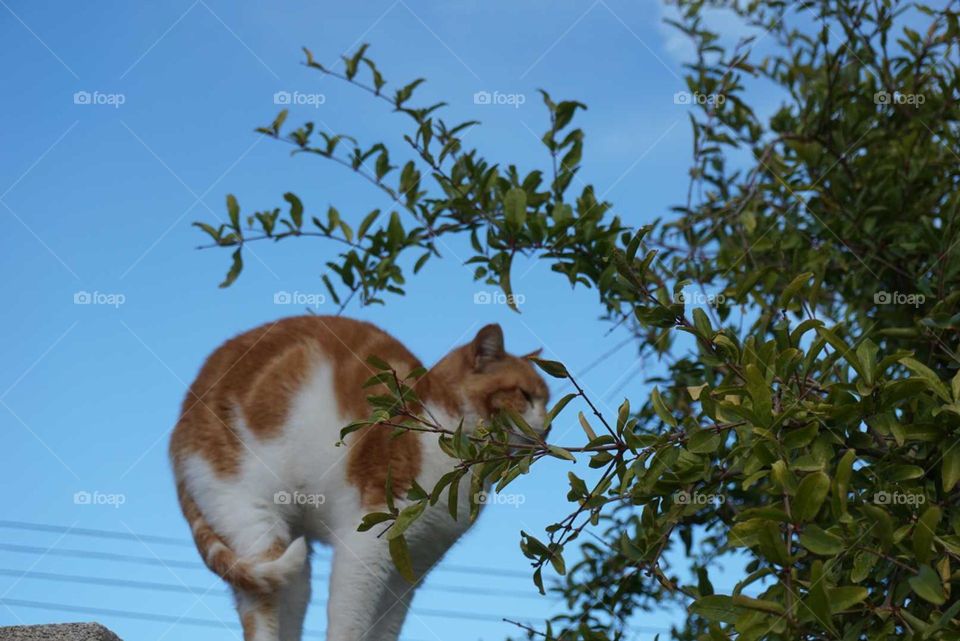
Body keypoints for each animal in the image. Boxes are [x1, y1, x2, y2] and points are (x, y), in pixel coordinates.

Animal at [169, 316, 552, 640]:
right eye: (525, 396)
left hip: (289, 562)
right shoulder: (365, 548)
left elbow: (384, 630)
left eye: (547, 401)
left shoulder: (408, 570)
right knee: (263, 608)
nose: (548, 426)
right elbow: (349, 623)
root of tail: (179, 425)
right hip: (254, 521)